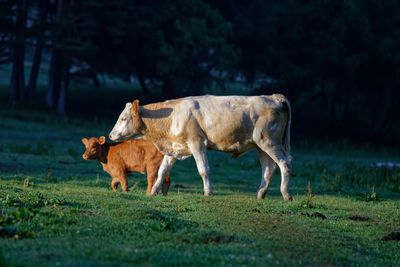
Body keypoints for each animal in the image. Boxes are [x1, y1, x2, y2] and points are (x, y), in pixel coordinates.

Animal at [108, 94, 292, 201]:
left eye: (123, 118)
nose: (110, 135)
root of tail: (273, 96)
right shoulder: (174, 148)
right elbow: (162, 171)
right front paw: (153, 191)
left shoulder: (197, 143)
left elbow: (203, 169)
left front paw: (207, 192)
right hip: (261, 146)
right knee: (269, 169)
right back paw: (260, 194)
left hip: (269, 142)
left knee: (284, 164)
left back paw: (286, 194)